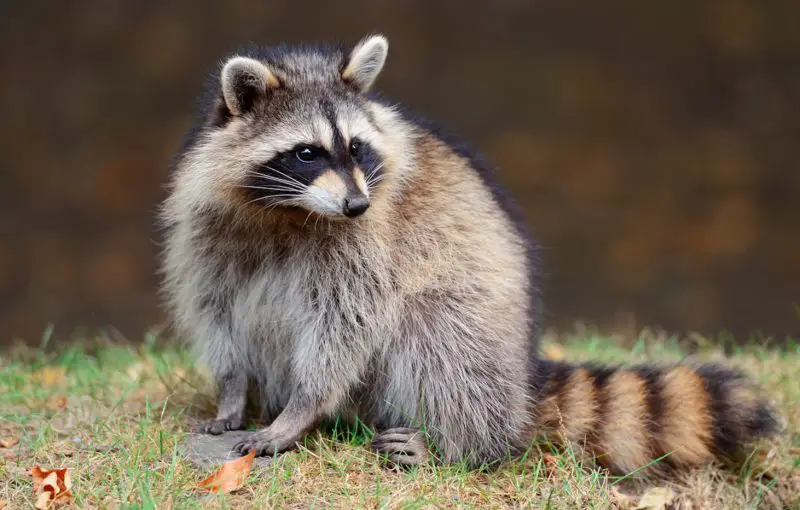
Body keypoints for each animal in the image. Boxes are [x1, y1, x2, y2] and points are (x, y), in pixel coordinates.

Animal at [159, 34, 781, 474]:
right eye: (307, 152)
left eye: (357, 147)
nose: (357, 203)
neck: (290, 211)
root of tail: (523, 374)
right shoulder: (208, 229)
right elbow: (216, 309)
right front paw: (232, 391)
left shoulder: (367, 244)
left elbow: (346, 325)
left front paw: (301, 410)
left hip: (479, 328)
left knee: (438, 335)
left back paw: (460, 444)